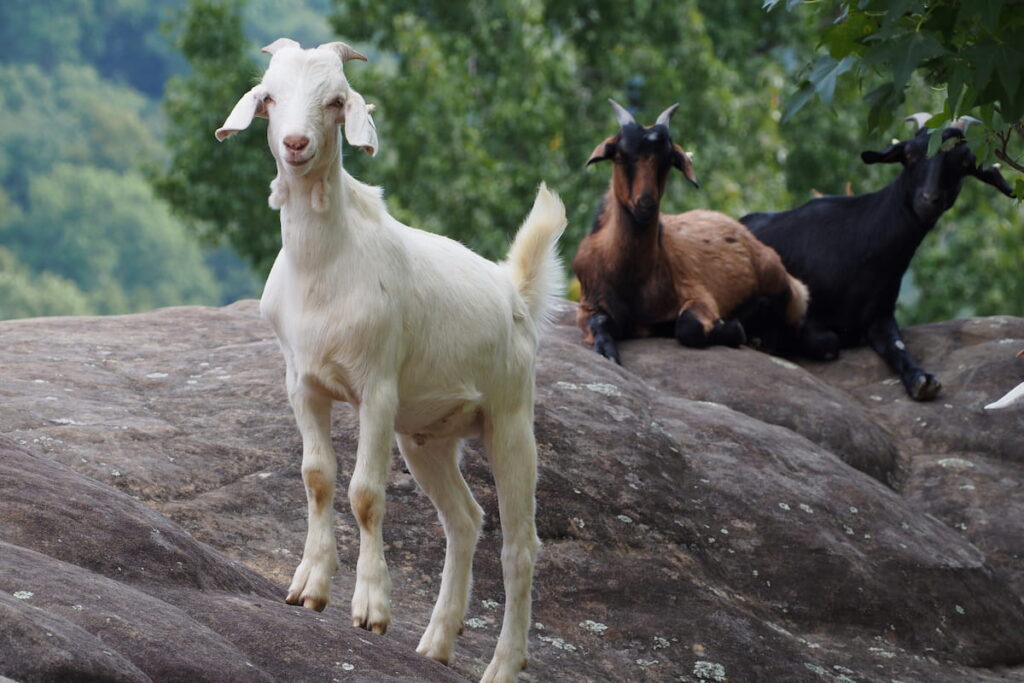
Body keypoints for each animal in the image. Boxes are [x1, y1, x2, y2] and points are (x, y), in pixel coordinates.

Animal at [218, 38, 569, 683]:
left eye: (336, 101)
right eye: (269, 96)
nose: (296, 145)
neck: (325, 268)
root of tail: (515, 293)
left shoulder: (377, 387)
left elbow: (364, 493)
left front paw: (371, 609)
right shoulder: (302, 382)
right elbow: (317, 477)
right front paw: (309, 587)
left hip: (511, 418)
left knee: (520, 546)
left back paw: (502, 664)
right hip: (426, 436)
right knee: (466, 519)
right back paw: (436, 643)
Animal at [577, 100, 806, 362]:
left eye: (668, 160)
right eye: (621, 155)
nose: (646, 205)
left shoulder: (698, 294)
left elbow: (689, 327)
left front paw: (734, 329)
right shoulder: (588, 303)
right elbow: (598, 323)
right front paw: (607, 351)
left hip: (782, 284)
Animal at [741, 112, 1019, 401]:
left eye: (964, 162)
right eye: (909, 155)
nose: (928, 200)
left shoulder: (881, 314)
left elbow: (897, 345)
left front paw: (922, 379)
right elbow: (828, 341)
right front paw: (768, 340)